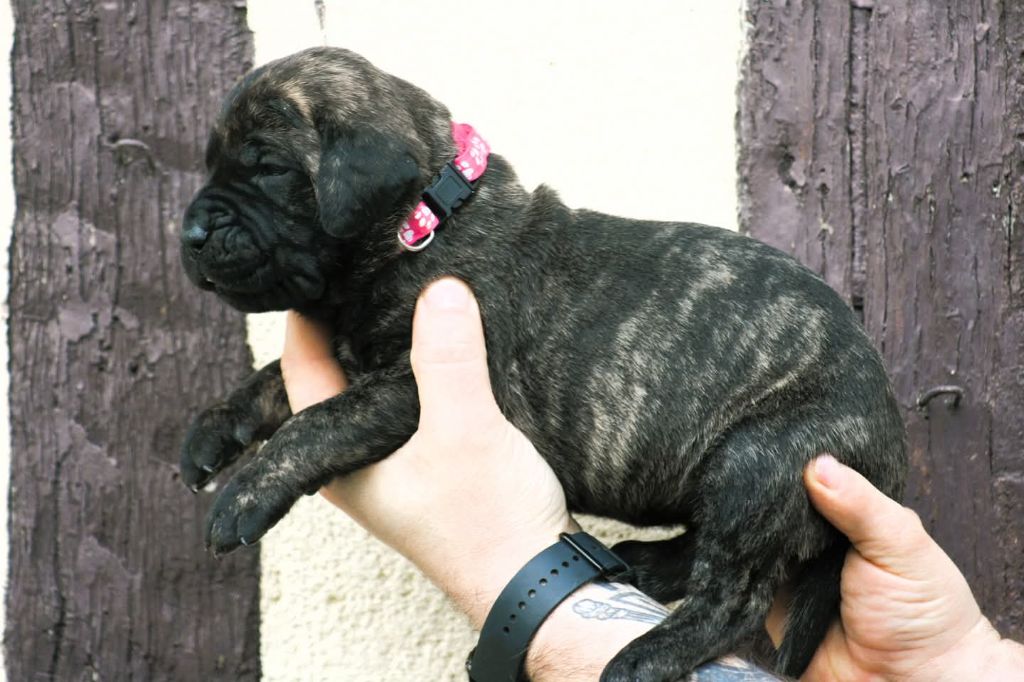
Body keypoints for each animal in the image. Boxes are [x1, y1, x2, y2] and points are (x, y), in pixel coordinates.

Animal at [179, 47, 906, 681]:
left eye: (268, 167)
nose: (188, 233)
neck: (422, 221)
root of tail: (888, 441)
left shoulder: (412, 386)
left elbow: (317, 423)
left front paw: (246, 494)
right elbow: (273, 383)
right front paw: (212, 432)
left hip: (757, 463)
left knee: (735, 595)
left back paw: (644, 654)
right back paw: (641, 566)